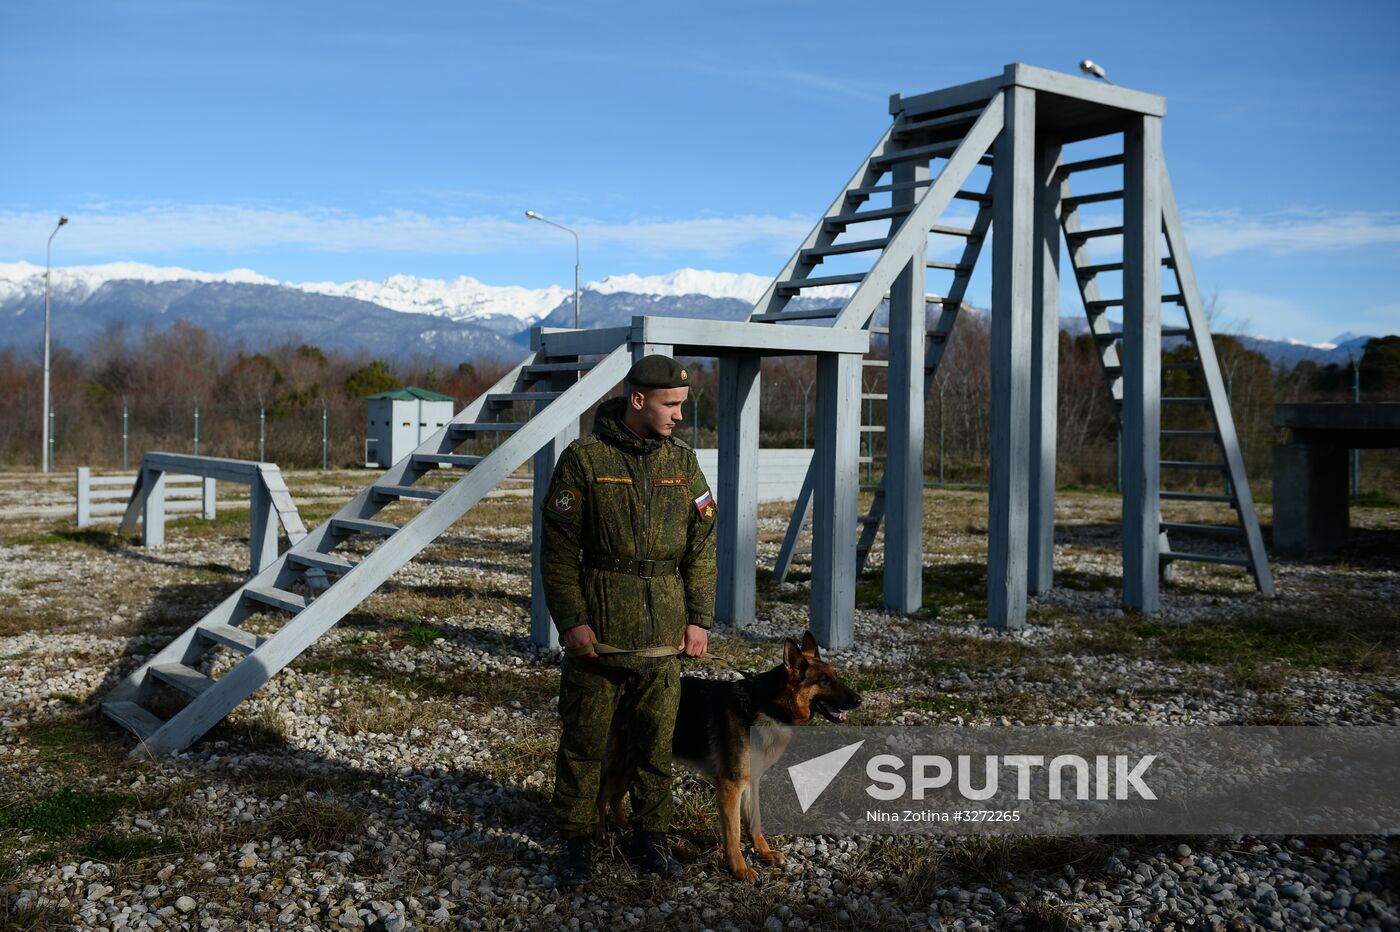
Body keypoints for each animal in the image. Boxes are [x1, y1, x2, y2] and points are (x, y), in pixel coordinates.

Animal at [593, 632, 856, 878]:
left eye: (836, 676)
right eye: (824, 681)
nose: (859, 699)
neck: (766, 704)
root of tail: (625, 695)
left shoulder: (751, 781)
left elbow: (754, 822)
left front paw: (764, 853)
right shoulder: (730, 786)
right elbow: (734, 833)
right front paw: (739, 869)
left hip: (635, 763)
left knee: (617, 796)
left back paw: (624, 826)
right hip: (622, 764)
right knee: (602, 795)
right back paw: (600, 833)